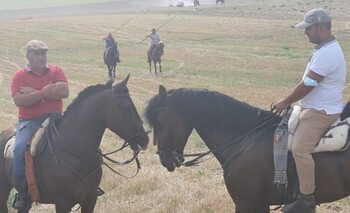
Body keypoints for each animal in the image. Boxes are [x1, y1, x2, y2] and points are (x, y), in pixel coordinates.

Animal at [0, 75, 149, 213]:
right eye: (127, 107)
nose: (145, 139)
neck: (77, 154)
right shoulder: (62, 203)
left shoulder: (90, 199)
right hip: (5, 190)